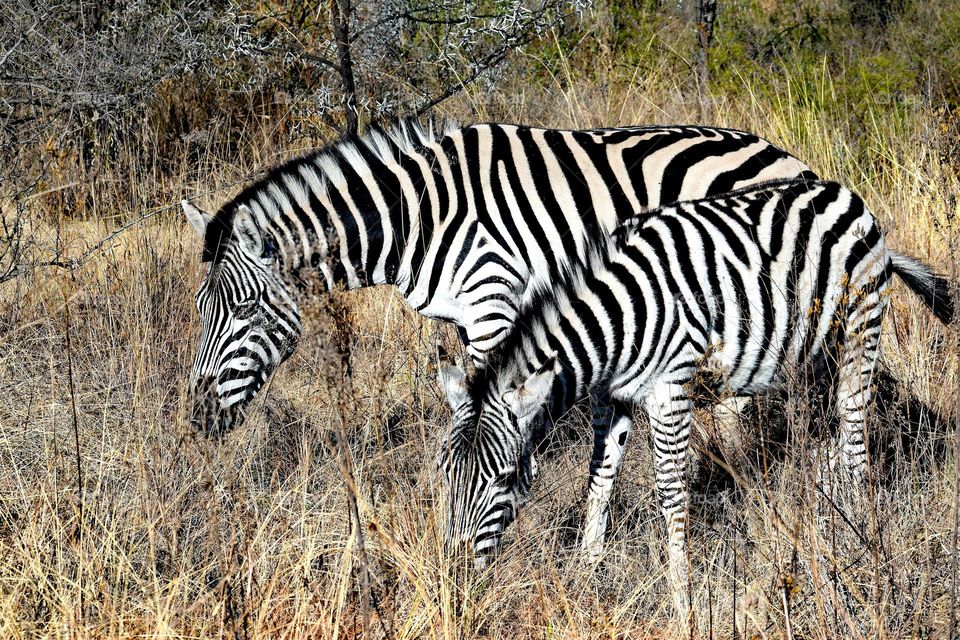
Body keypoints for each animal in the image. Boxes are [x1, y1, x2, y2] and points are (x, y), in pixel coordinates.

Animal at [181, 119, 817, 550]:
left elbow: (498, 413)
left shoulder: (494, 303)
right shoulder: (459, 320)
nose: (199, 419)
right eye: (201, 310)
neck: (416, 217)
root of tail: (787, 156)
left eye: (244, 309)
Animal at [436, 178, 953, 621]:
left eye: (504, 477)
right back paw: (829, 508)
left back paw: (859, 539)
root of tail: (843, 191)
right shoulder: (610, 397)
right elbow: (599, 480)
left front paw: (682, 599)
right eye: (444, 472)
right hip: (815, 351)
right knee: (837, 441)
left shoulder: (671, 388)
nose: (455, 579)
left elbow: (670, 491)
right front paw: (586, 571)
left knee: (856, 437)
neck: (618, 319)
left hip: (859, 331)